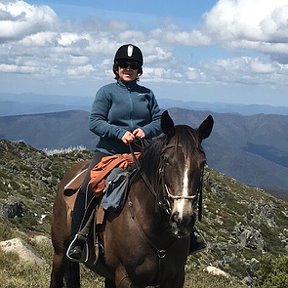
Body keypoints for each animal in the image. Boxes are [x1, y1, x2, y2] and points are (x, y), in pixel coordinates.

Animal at [49, 111, 213, 288]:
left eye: (203, 162)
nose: (182, 219)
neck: (156, 230)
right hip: (60, 253)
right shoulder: (126, 278)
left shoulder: (175, 279)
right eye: (167, 160)